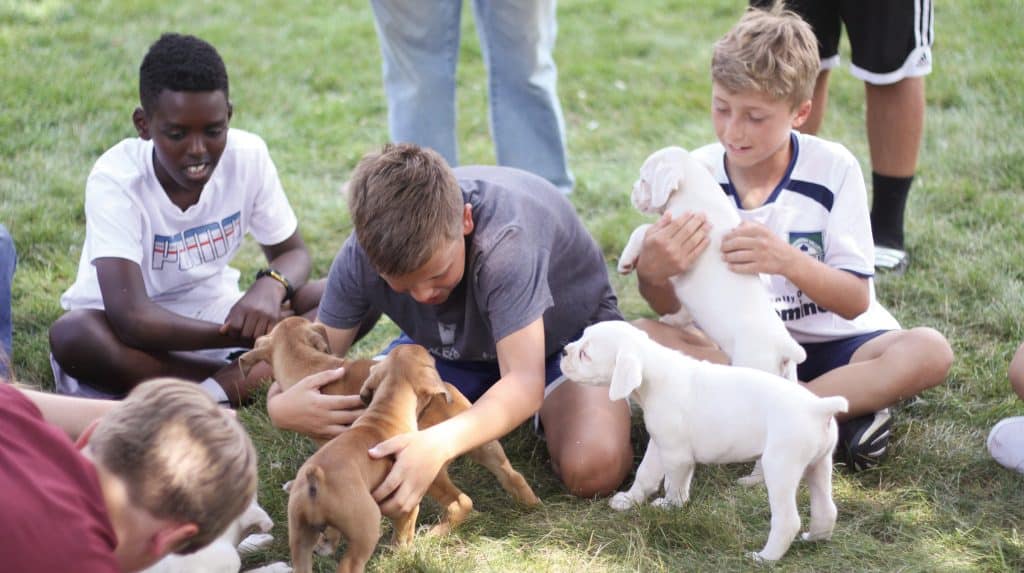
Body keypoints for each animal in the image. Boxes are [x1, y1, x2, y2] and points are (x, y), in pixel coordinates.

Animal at [288, 343, 452, 573]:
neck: (387, 410)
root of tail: (316, 479)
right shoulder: (409, 506)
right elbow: (404, 533)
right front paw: (405, 553)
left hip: (300, 536)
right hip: (367, 530)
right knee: (349, 565)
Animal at [565, 323, 843, 564]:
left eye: (585, 354)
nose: (565, 351)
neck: (655, 371)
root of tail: (818, 408)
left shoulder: (676, 457)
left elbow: (674, 486)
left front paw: (669, 507)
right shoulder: (660, 445)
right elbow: (646, 474)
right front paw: (630, 499)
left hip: (780, 470)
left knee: (788, 520)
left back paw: (765, 557)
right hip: (819, 467)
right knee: (827, 510)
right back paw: (815, 539)